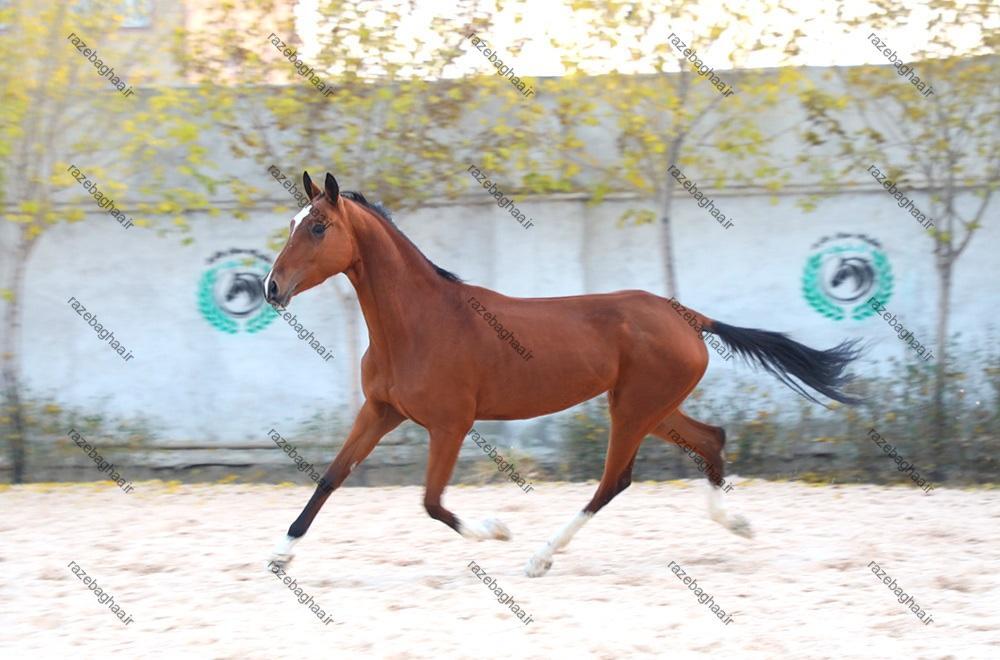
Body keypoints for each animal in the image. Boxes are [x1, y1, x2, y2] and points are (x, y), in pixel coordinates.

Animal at [262, 171, 864, 576]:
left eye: (318, 227)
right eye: (291, 223)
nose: (271, 288)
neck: (417, 323)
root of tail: (687, 316)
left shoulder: (450, 424)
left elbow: (431, 503)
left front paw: (498, 530)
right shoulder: (381, 411)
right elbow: (330, 478)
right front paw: (280, 555)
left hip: (633, 409)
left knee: (614, 481)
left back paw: (540, 556)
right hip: (653, 407)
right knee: (710, 440)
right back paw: (736, 524)